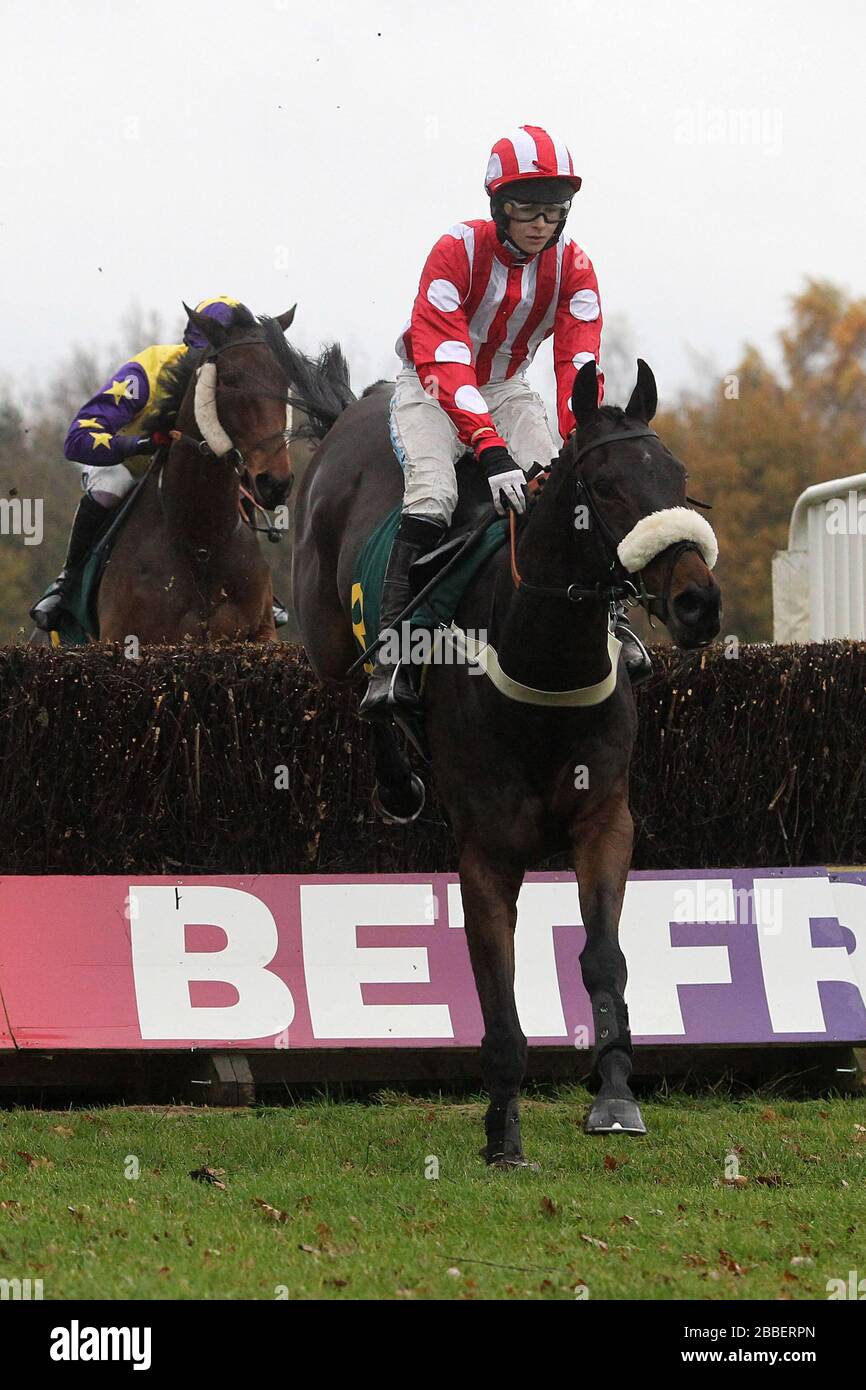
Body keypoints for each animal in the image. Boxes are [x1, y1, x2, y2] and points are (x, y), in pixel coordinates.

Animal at [294, 358, 722, 1162]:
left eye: (678, 476)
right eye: (606, 485)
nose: (698, 604)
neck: (543, 661)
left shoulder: (604, 820)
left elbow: (603, 957)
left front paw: (615, 1096)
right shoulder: (487, 847)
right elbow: (497, 986)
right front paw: (504, 1132)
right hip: (327, 633)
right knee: (362, 680)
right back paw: (393, 751)